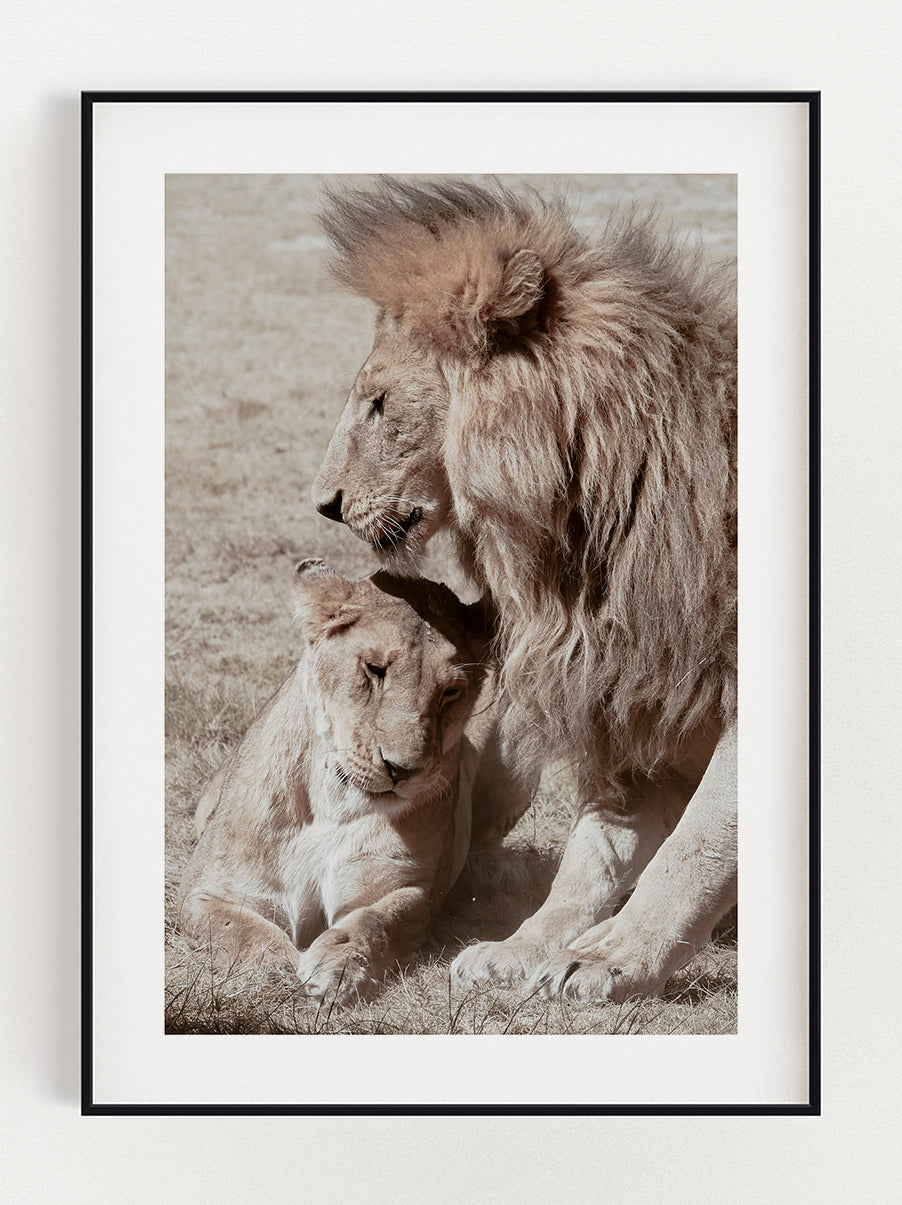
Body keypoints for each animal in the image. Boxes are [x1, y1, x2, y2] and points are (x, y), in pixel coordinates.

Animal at [178, 558, 512, 1005]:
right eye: (373, 669)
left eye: (451, 692)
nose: (402, 769)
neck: (333, 801)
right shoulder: (208, 891)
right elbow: (238, 929)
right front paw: (275, 966)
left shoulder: (406, 889)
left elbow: (373, 922)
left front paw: (337, 970)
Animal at [312, 177, 738, 1002]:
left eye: (378, 403)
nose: (325, 504)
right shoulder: (632, 689)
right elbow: (593, 853)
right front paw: (524, 948)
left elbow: (697, 843)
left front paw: (615, 957)